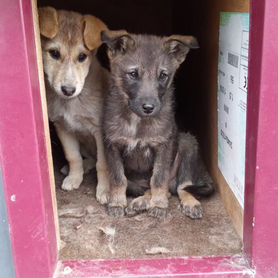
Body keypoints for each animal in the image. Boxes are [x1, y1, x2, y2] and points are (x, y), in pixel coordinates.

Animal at [39, 7, 111, 204]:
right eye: (54, 53)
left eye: (82, 57)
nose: (68, 90)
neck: (71, 102)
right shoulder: (62, 127)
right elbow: (73, 156)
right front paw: (74, 177)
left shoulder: (100, 131)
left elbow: (103, 164)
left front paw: (105, 190)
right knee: (88, 158)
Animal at [101, 29, 214, 217]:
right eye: (133, 74)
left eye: (163, 75)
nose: (149, 107)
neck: (137, 121)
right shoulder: (112, 145)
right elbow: (118, 178)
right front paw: (117, 203)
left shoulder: (164, 146)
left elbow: (159, 178)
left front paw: (159, 205)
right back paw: (141, 201)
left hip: (188, 143)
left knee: (182, 186)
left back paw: (189, 202)